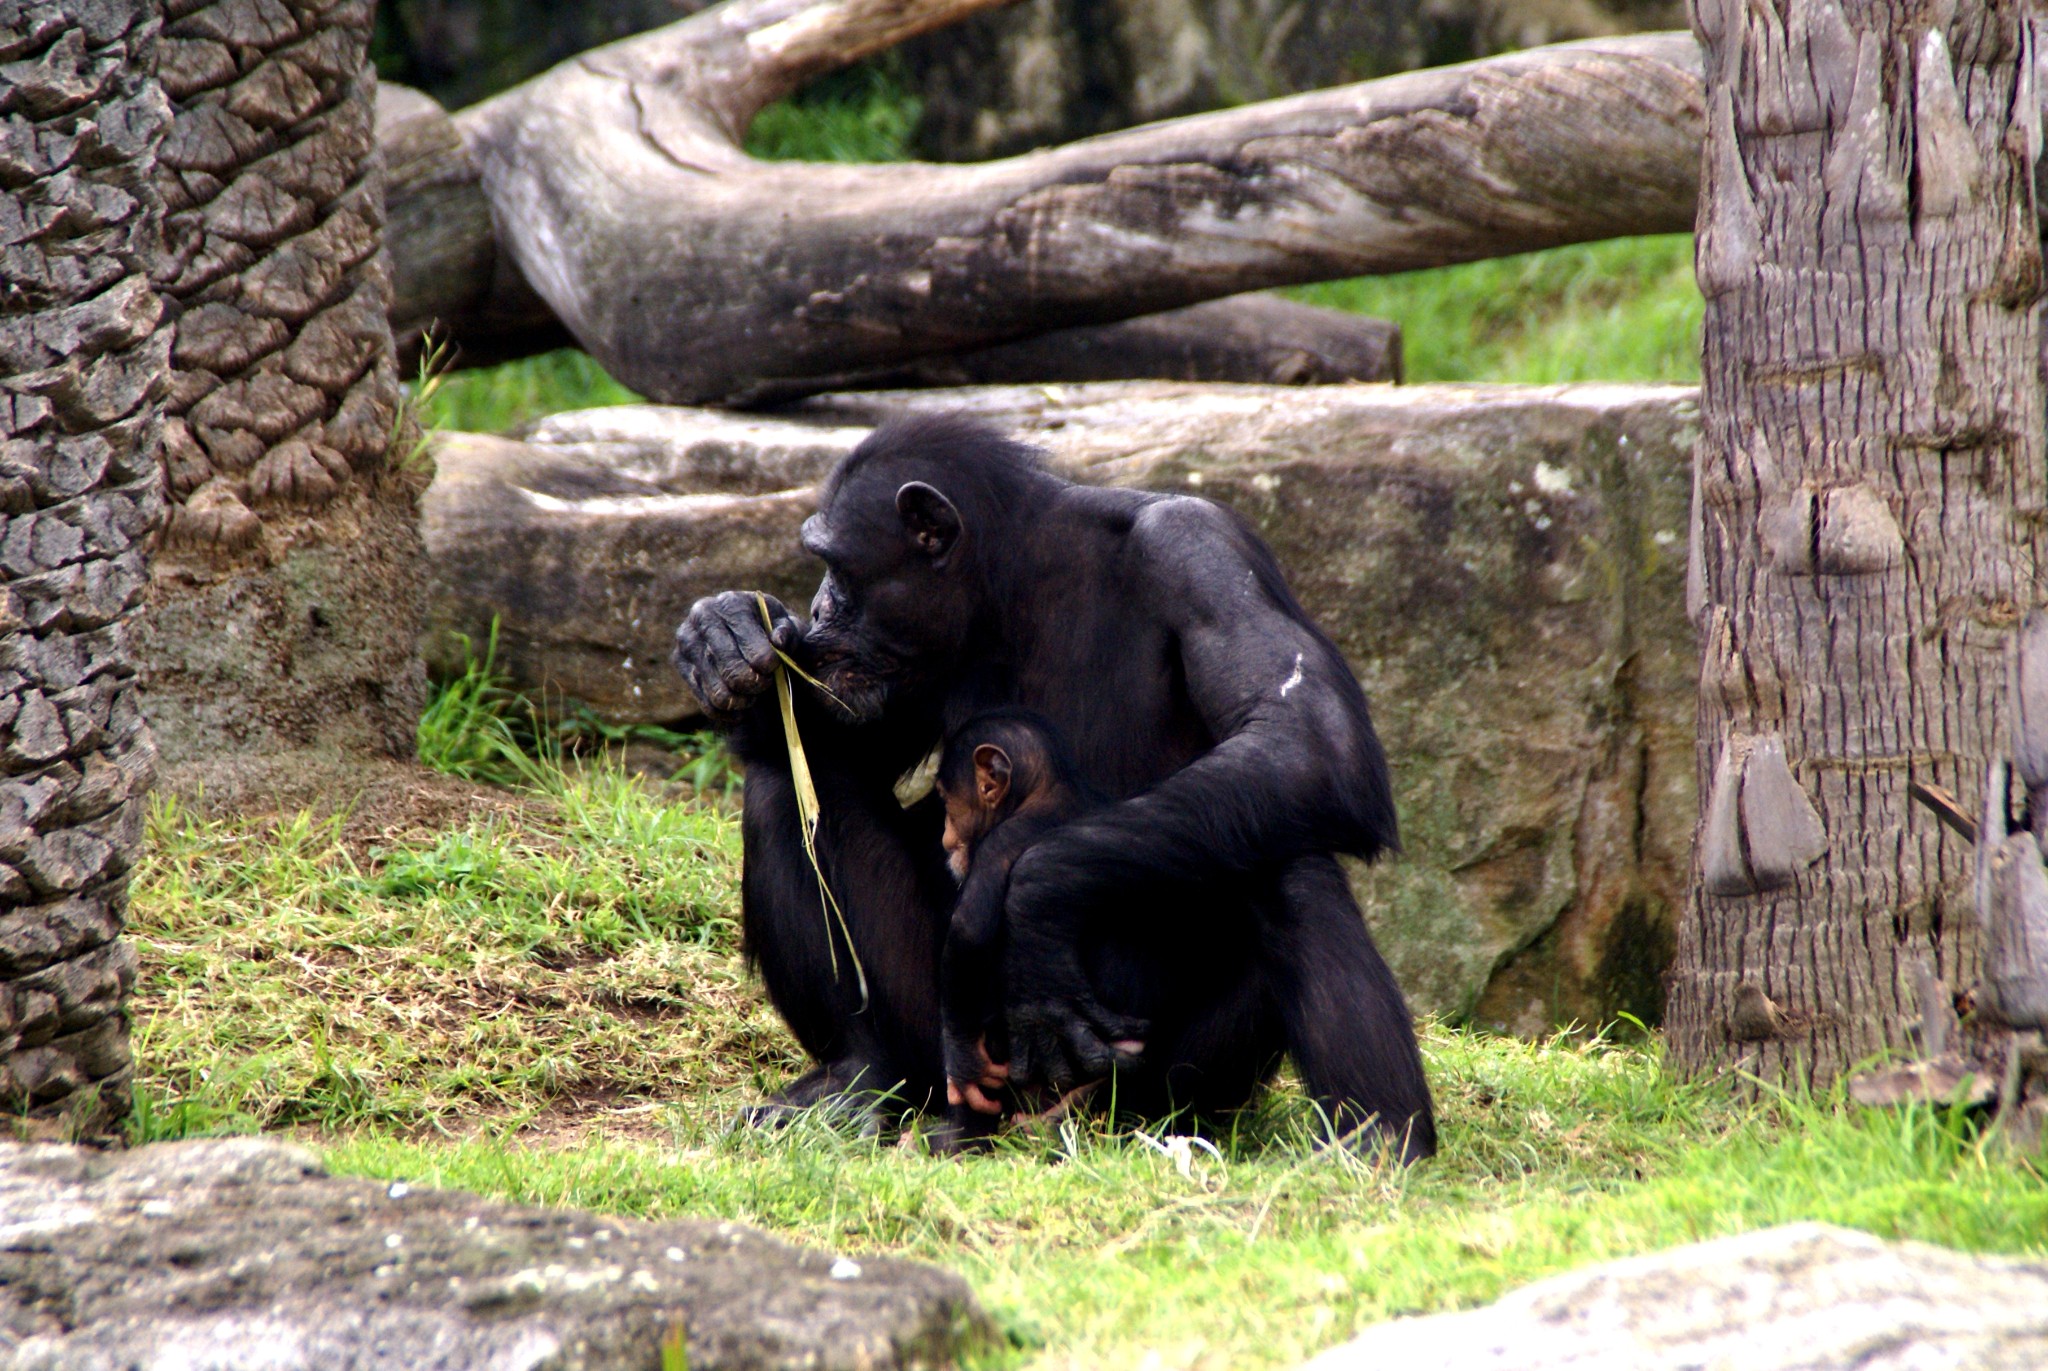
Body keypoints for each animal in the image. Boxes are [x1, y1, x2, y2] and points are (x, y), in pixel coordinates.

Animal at [937, 704, 1130, 1147]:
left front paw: (963, 1060)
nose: (944, 835)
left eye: (944, 797)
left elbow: (969, 932)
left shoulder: (998, 844)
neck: (1043, 791)